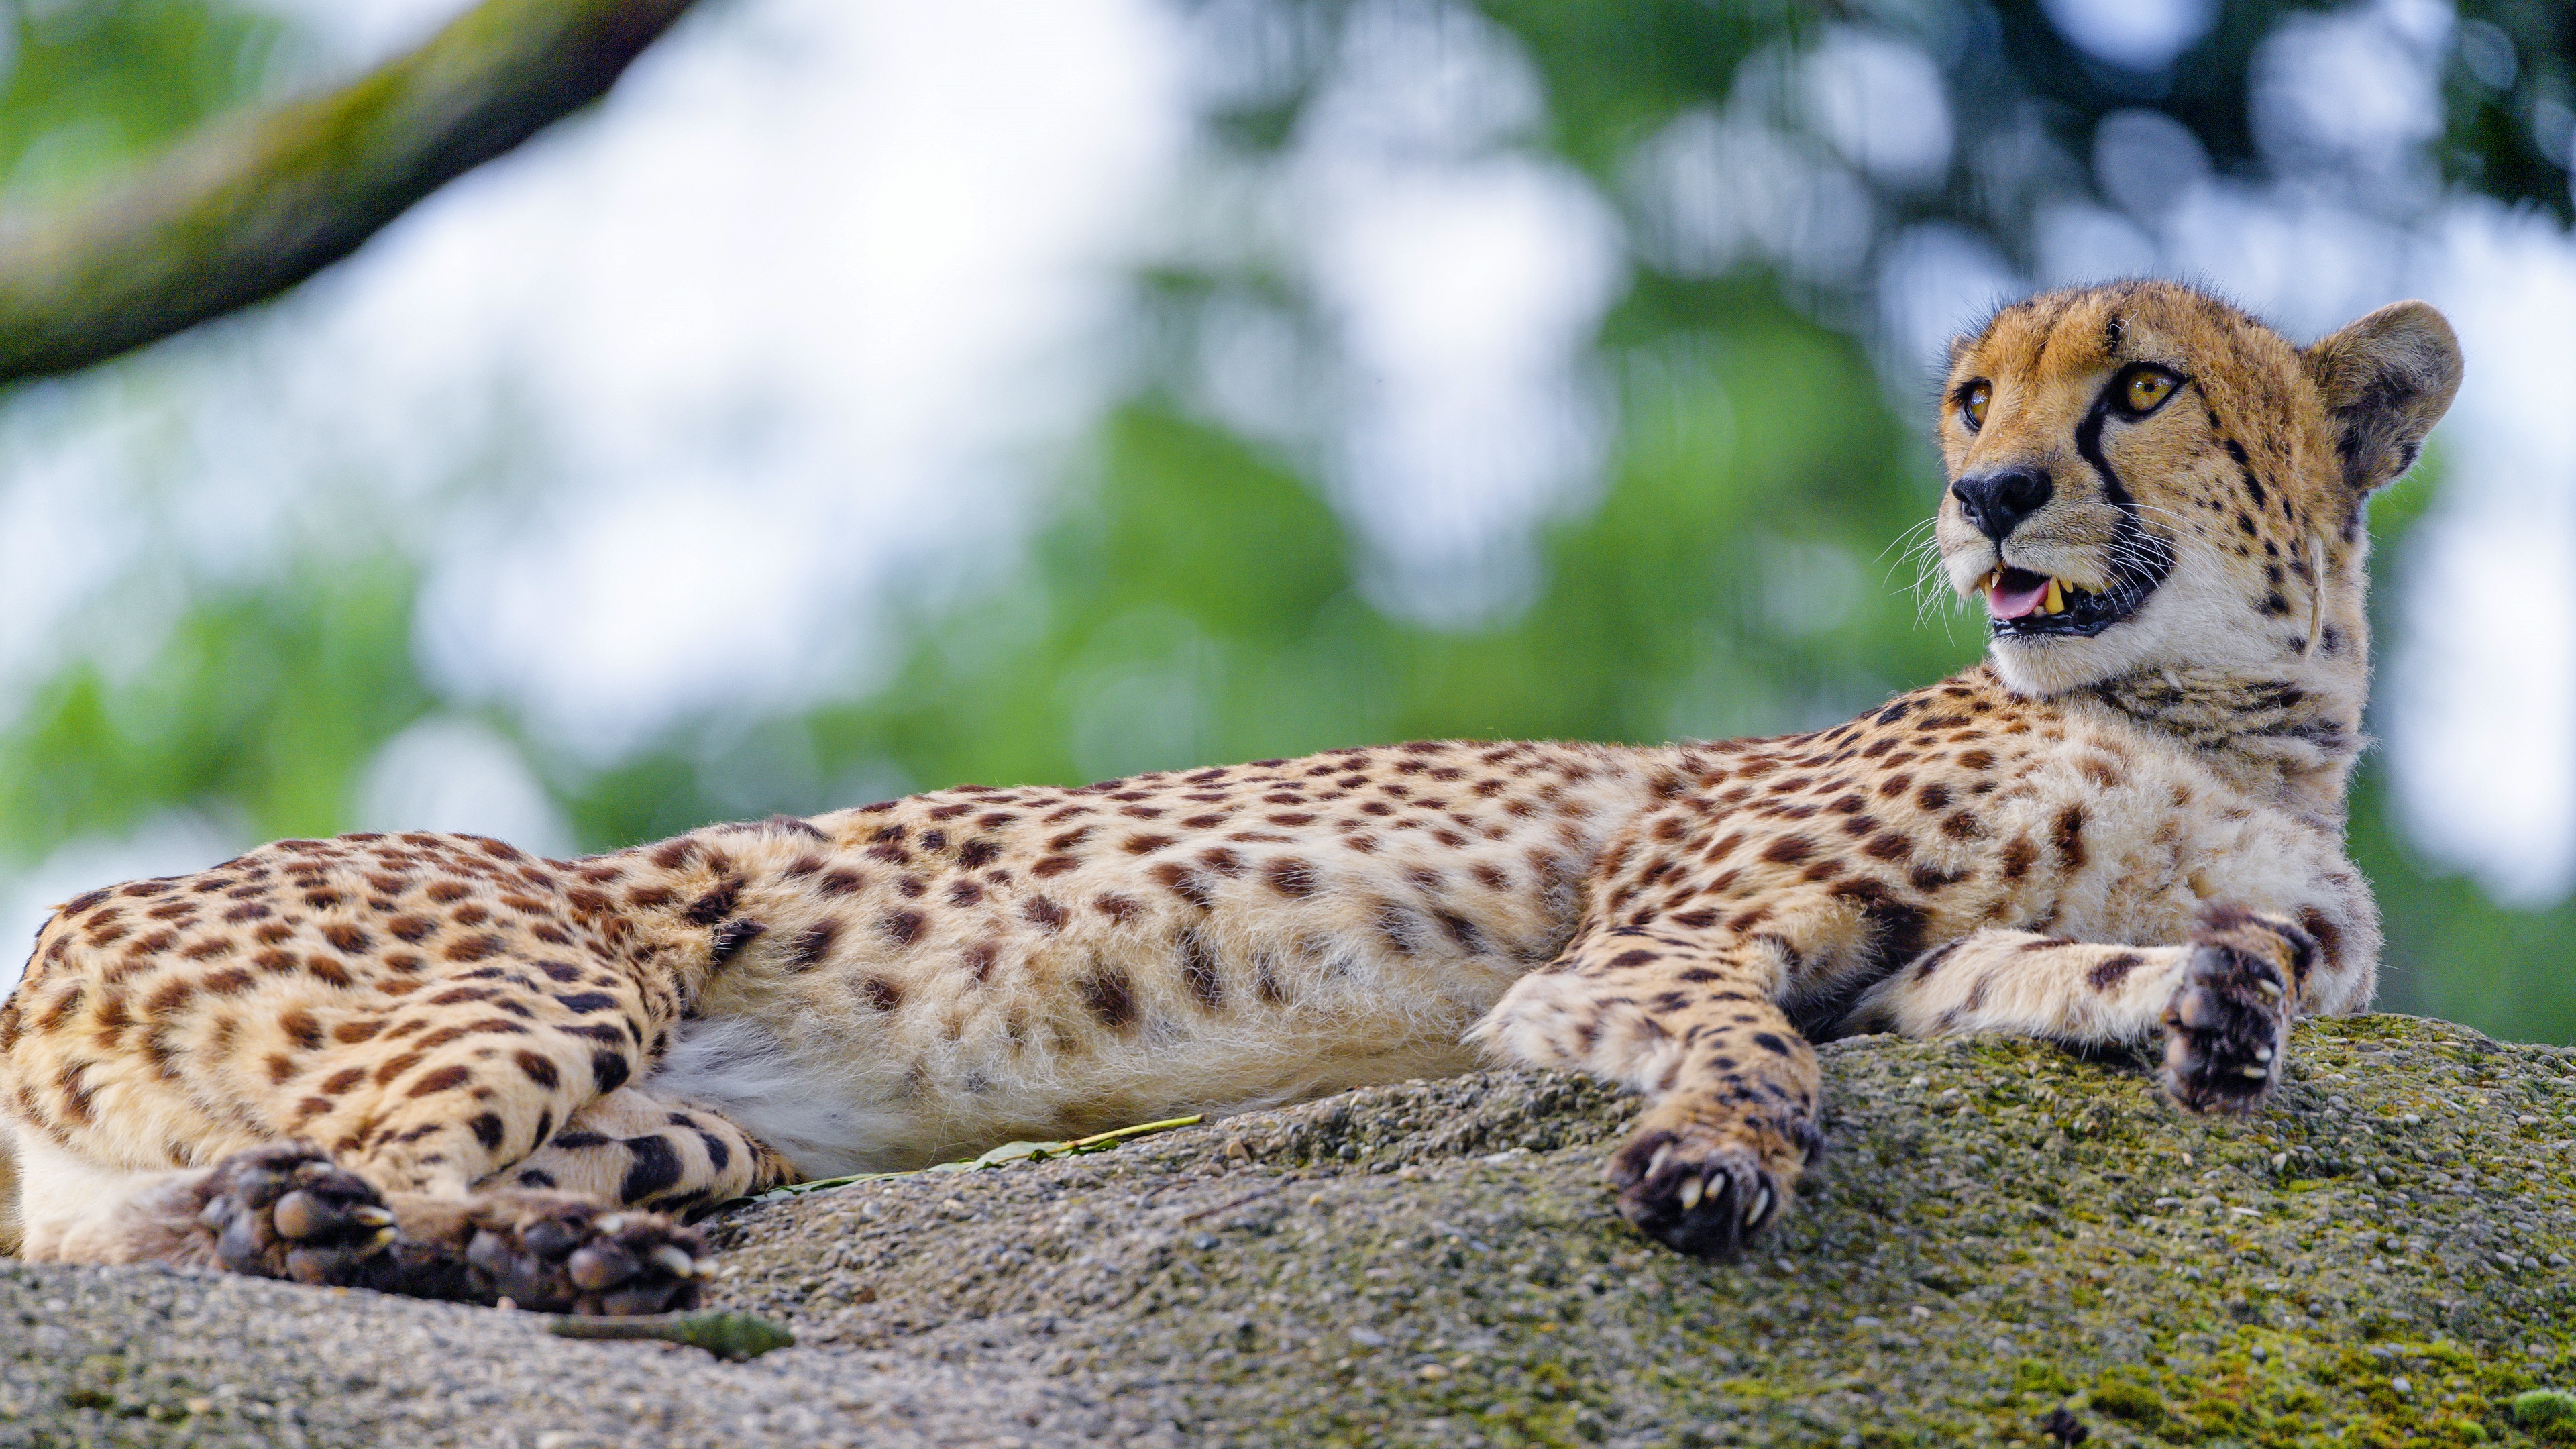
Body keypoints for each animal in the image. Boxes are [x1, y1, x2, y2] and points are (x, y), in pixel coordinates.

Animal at [0, 282, 2452, 1299]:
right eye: (1971, 397)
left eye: (2139, 387)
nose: (1989, 493)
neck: (2224, 716)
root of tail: (50, 941)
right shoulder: (1649, 943)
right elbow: (1752, 1048)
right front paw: (1712, 1170)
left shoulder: (1921, 964)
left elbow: (2088, 975)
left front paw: (2189, 1007)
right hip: (559, 969)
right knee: (380, 1170)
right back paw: (501, 1253)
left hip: (687, 1117)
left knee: (208, 1211)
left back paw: (366, 1232)